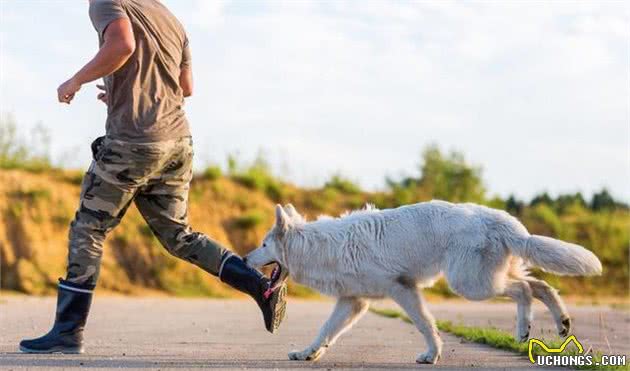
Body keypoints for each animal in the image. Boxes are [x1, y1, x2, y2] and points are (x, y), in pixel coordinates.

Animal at [244, 202, 604, 364]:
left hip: (471, 285)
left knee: (525, 290)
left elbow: (424, 324)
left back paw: (524, 330)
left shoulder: (401, 290)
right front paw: (308, 353)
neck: (320, 247)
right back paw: (561, 323)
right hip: (487, 278)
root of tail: (504, 221)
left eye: (263, 244)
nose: (245, 259)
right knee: (542, 286)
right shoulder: (353, 302)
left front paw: (432, 355)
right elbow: (325, 331)